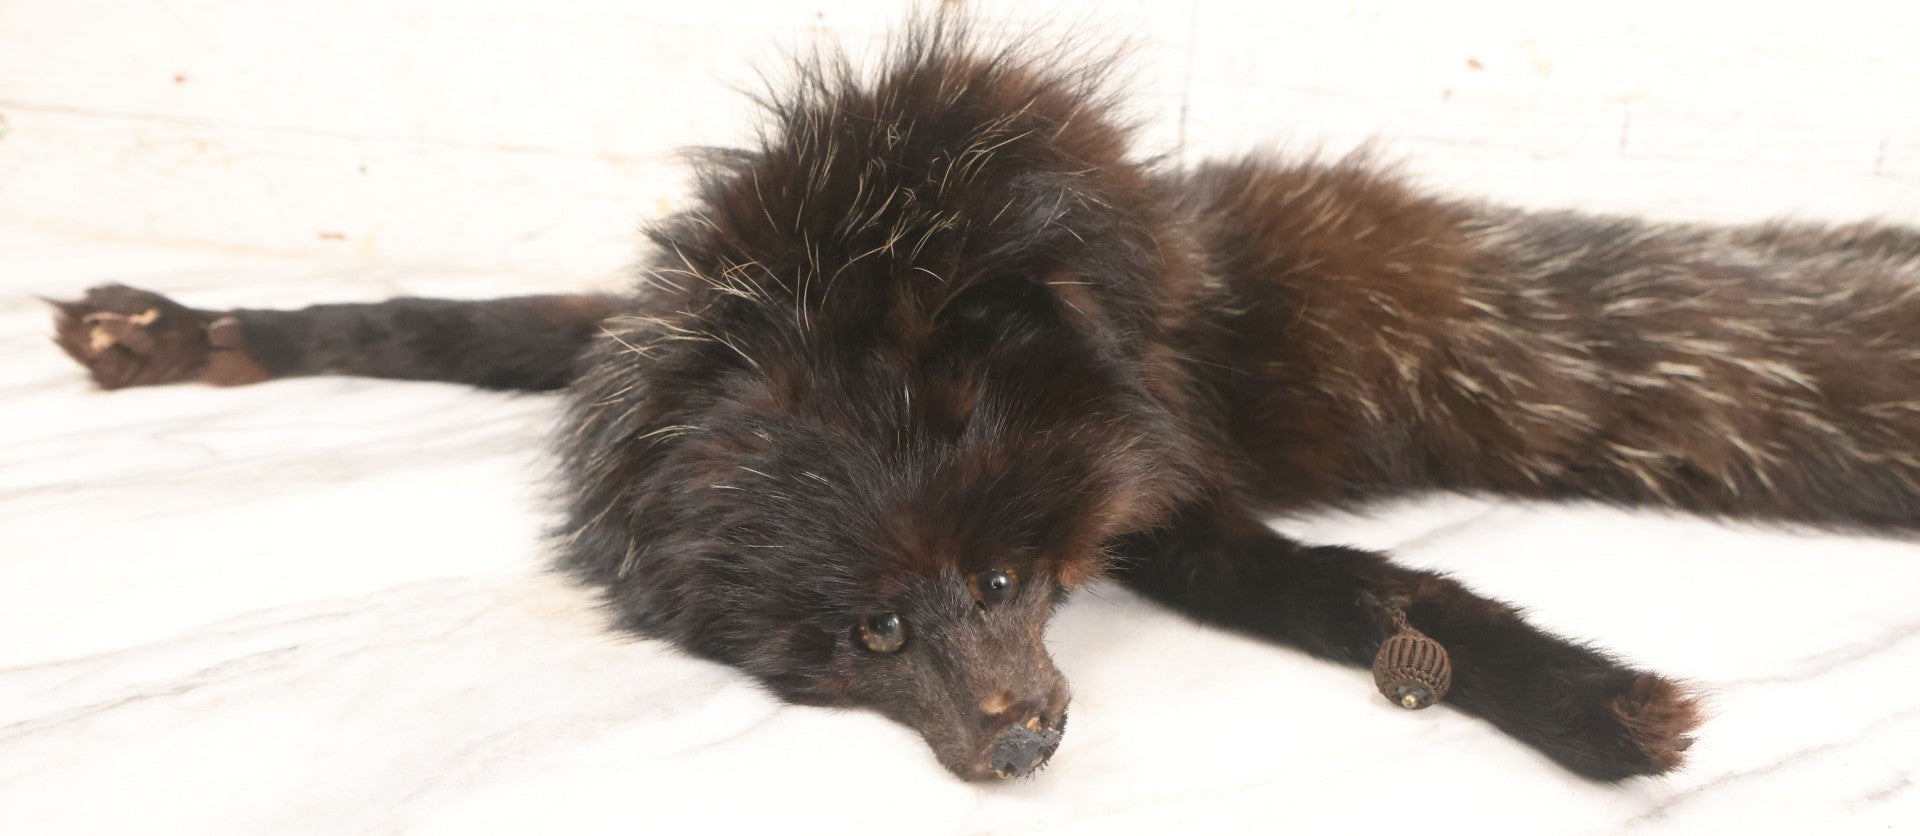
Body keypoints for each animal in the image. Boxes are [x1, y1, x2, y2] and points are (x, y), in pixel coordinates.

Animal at [46, 16, 1920, 783]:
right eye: (875, 633)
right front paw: (186, 332)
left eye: (1005, 584)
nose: (1021, 741)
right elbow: (450, 320)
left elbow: (1360, 594)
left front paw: (1590, 709)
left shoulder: (1159, 482)